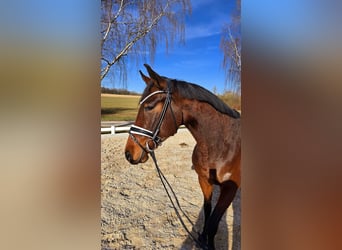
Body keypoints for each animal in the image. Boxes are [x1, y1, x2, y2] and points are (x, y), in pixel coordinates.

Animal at [123, 64, 240, 250]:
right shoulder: (204, 181)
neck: (220, 143)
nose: (128, 153)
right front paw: (203, 240)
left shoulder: (230, 189)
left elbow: (213, 224)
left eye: (149, 107)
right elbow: (207, 213)